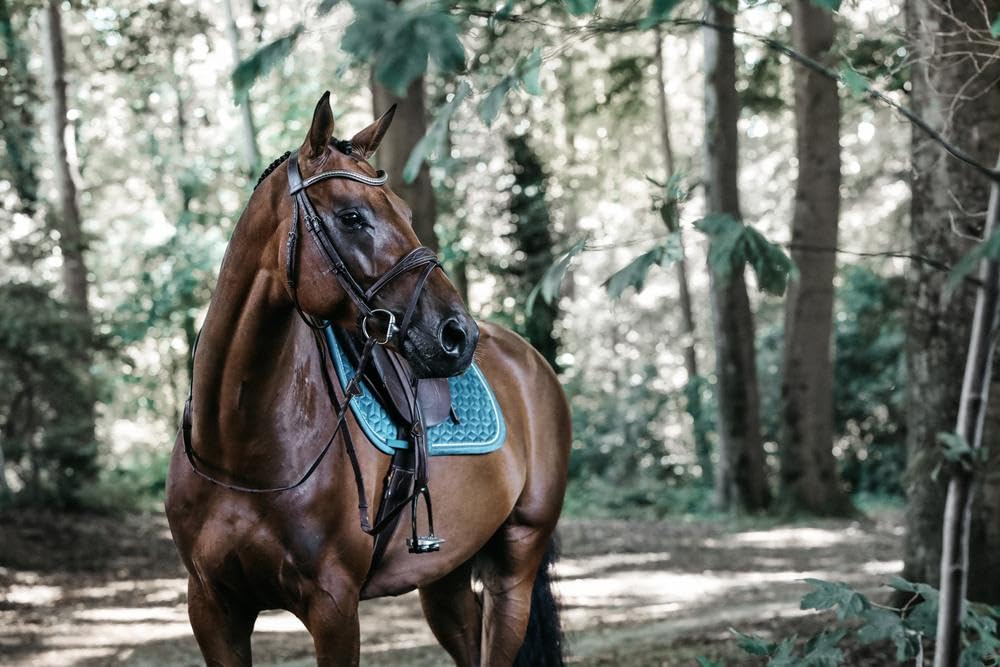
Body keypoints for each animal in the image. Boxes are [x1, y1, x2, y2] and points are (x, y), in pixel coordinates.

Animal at [165, 92, 572, 666]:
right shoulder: (212, 607)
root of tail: (530, 361)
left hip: (514, 568)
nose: (457, 334)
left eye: (404, 212)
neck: (239, 449)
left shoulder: (334, 608)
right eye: (352, 216)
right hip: (445, 576)